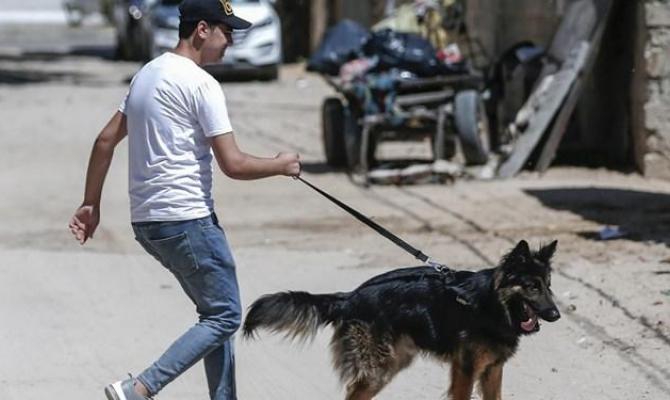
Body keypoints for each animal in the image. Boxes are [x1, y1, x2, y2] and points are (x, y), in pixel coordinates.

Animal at [242, 239, 560, 398]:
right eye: (531, 286)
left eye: (548, 284)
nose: (556, 315)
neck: (490, 304)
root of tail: (350, 296)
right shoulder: (466, 369)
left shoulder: (492, 369)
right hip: (379, 368)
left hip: (394, 360)